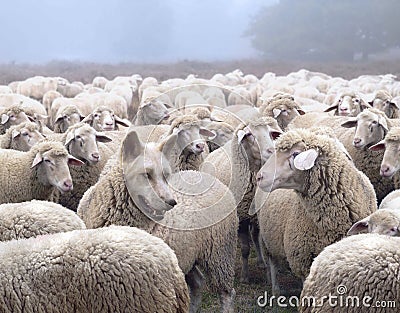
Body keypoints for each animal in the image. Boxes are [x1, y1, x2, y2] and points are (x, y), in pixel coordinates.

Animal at [78, 128, 238, 310]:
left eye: (166, 175)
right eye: (146, 174)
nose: (171, 202)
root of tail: (205, 176)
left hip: (220, 252)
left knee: (226, 293)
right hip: (187, 256)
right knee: (197, 283)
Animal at [202, 117, 282, 282]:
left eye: (271, 133)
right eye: (249, 134)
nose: (271, 151)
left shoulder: (257, 216)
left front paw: (267, 271)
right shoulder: (240, 217)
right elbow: (245, 249)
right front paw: (245, 276)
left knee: (255, 236)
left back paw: (260, 261)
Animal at [253, 128, 378, 294]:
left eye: (295, 154)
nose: (259, 177)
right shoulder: (303, 261)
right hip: (267, 237)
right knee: (272, 263)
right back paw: (275, 289)